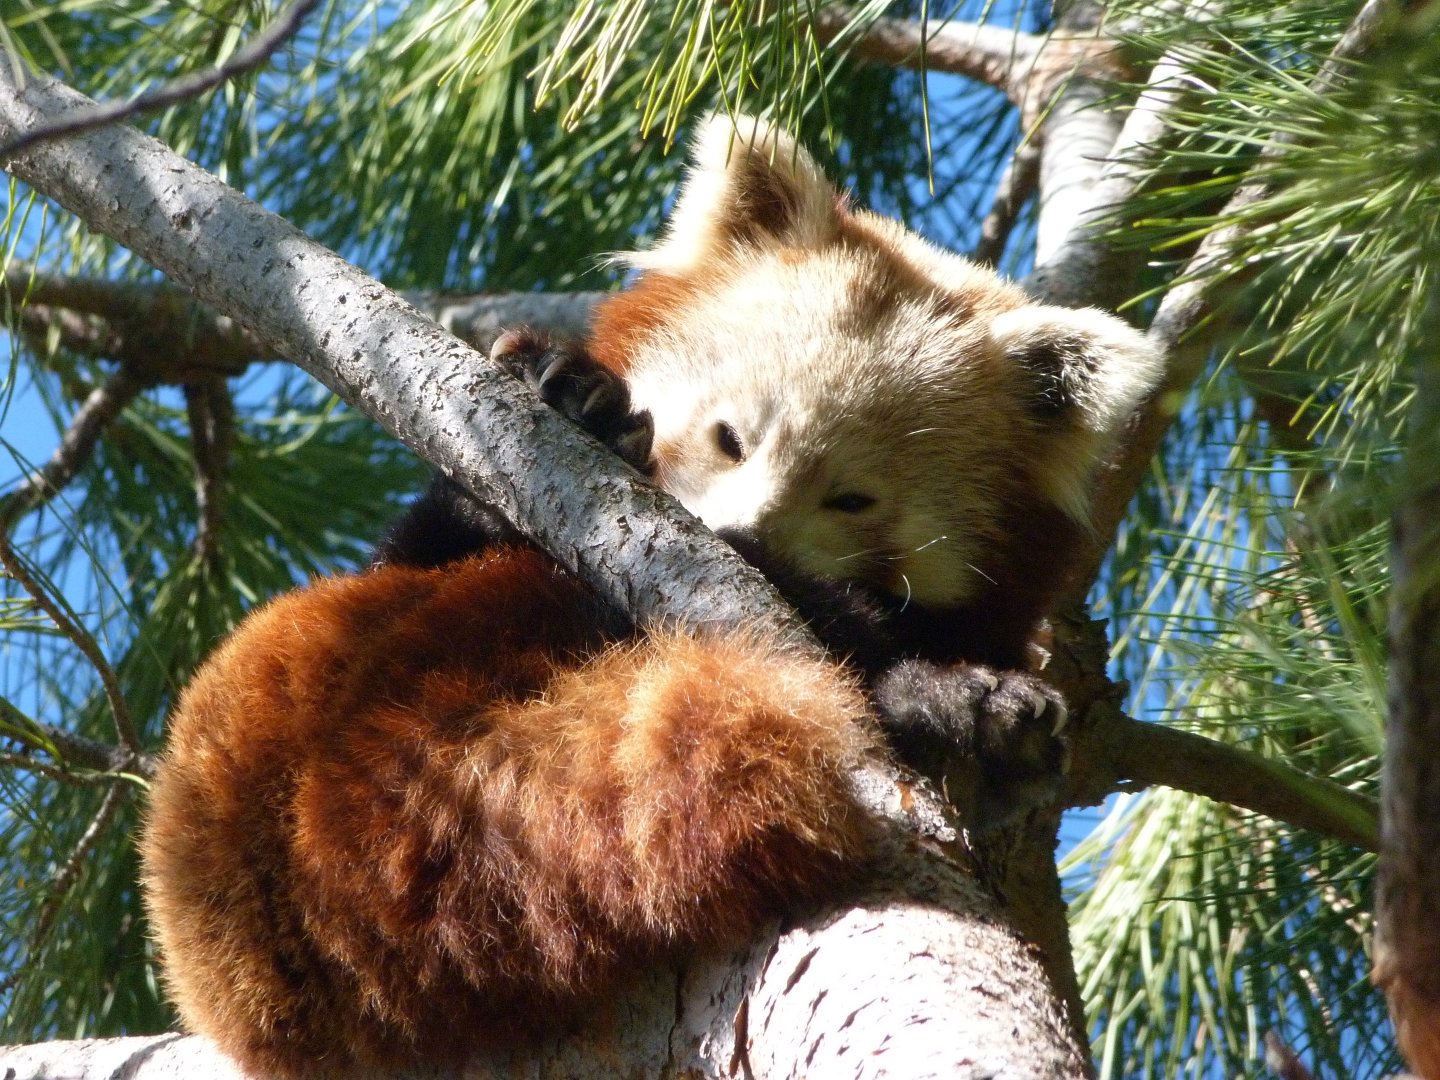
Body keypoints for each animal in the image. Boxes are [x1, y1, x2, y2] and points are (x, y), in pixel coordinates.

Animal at [139, 114, 1162, 1078]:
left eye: (853, 498)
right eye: (730, 437)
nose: (740, 541)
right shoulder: (423, 544)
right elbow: (441, 520)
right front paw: (567, 390)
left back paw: (961, 710)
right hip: (367, 654)